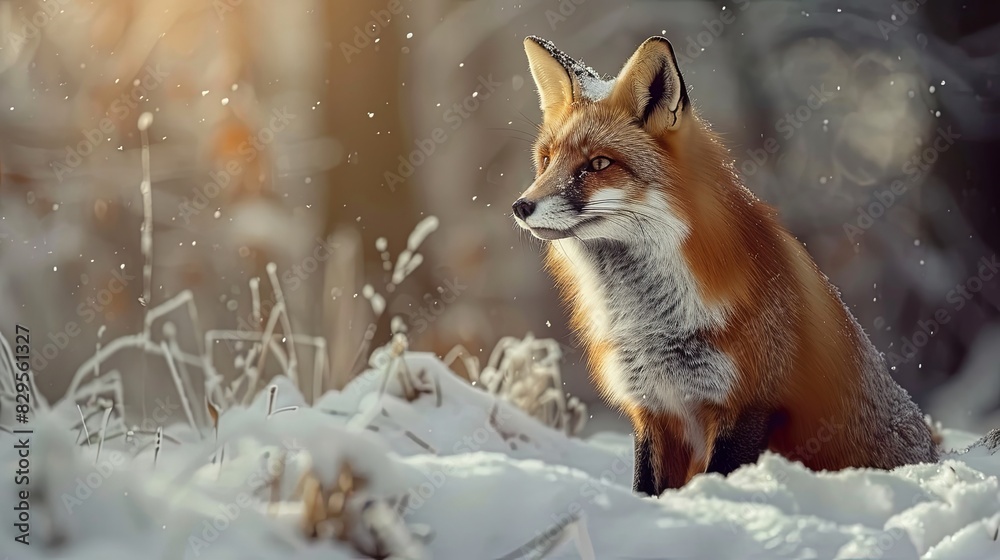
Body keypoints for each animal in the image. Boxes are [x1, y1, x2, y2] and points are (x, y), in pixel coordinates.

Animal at [511, 35, 940, 497]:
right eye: (547, 159)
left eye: (599, 164)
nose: (521, 206)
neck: (652, 327)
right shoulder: (652, 409)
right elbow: (645, 486)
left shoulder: (748, 405)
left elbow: (718, 475)